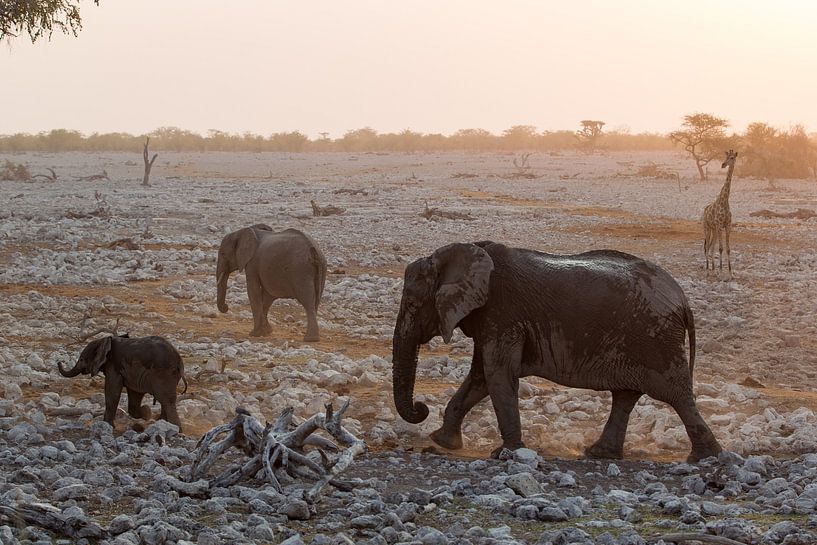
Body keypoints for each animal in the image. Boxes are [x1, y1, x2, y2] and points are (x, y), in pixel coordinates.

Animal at [703, 149, 738, 278]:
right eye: (726, 157)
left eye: (732, 157)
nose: (723, 164)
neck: (724, 201)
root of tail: (704, 210)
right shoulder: (719, 225)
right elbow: (721, 249)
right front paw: (722, 272)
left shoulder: (727, 225)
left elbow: (727, 249)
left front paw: (730, 273)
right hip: (707, 228)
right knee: (706, 247)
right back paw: (708, 271)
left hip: (714, 230)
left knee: (711, 246)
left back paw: (713, 270)